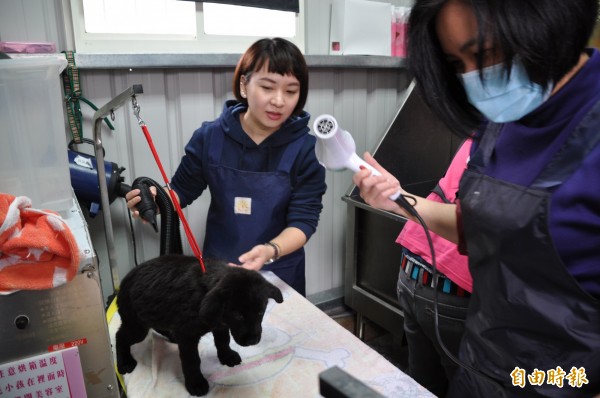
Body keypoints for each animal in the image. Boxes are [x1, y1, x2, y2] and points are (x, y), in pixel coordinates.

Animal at [118, 253, 288, 396]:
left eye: (261, 312)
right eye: (238, 315)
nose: (253, 341)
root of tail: (125, 280)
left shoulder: (220, 325)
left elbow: (223, 341)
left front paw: (227, 356)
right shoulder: (188, 336)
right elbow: (192, 361)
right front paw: (196, 383)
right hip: (137, 326)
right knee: (120, 335)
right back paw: (124, 362)